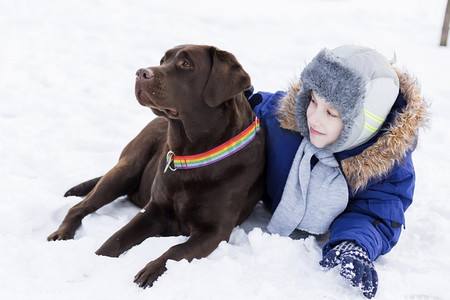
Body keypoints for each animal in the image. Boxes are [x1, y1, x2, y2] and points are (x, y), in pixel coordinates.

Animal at [46, 45, 264, 288]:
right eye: (163, 60)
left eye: (186, 63)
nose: (141, 73)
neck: (192, 154)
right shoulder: (154, 209)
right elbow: (117, 238)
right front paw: (93, 262)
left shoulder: (214, 230)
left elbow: (176, 250)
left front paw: (151, 270)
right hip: (126, 170)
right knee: (79, 207)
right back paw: (61, 233)